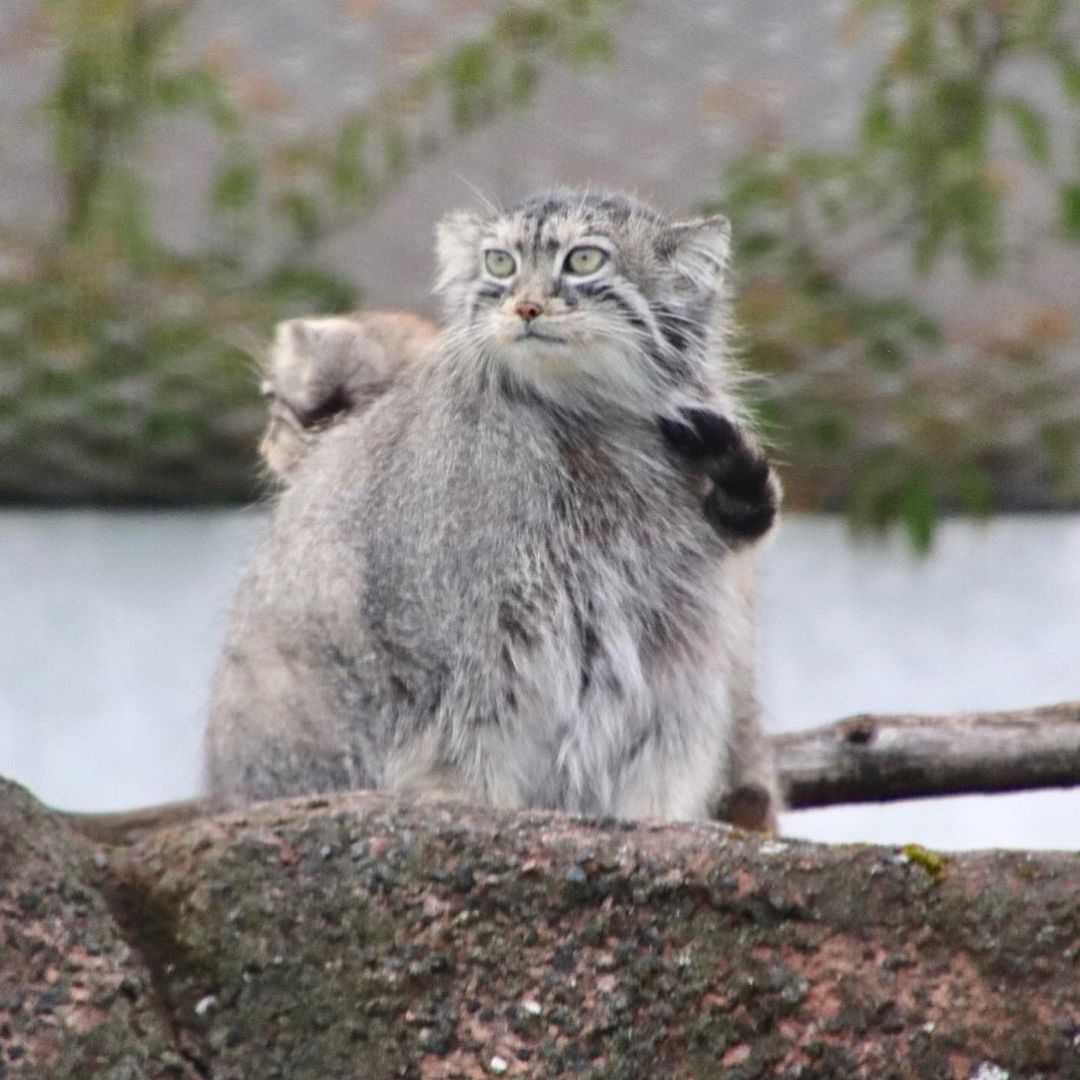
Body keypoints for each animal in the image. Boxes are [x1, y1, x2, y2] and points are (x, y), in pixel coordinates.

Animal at [206, 190, 781, 825]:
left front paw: (652, 817)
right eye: (499, 263)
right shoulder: (467, 655)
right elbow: (468, 757)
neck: (591, 428)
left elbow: (661, 755)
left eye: (584, 259)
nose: (525, 306)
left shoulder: (675, 640)